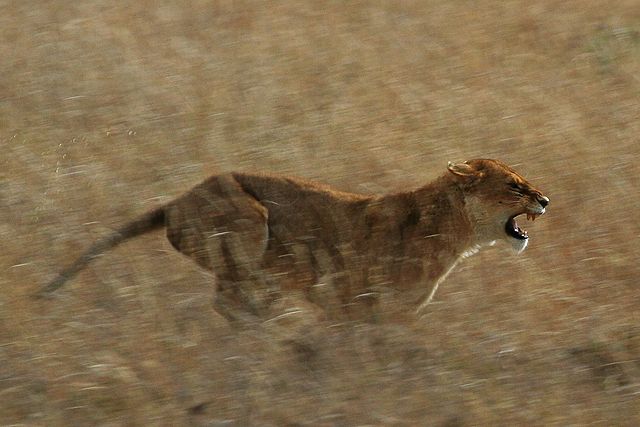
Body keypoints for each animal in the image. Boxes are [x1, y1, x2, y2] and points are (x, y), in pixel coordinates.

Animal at [39, 159, 549, 322]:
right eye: (515, 186)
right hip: (249, 217)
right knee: (231, 295)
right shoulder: (348, 300)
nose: (545, 199)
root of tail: (175, 200)